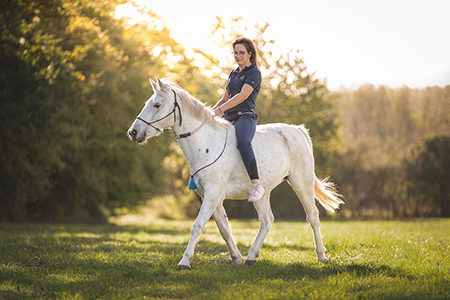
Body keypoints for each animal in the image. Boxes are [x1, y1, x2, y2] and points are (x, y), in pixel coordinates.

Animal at [128, 77, 342, 270]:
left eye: (157, 105)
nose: (133, 132)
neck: (205, 143)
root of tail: (298, 130)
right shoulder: (210, 197)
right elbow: (224, 228)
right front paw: (236, 258)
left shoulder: (213, 195)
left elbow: (197, 226)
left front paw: (184, 262)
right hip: (261, 193)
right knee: (266, 220)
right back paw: (251, 257)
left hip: (301, 183)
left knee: (313, 216)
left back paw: (322, 256)